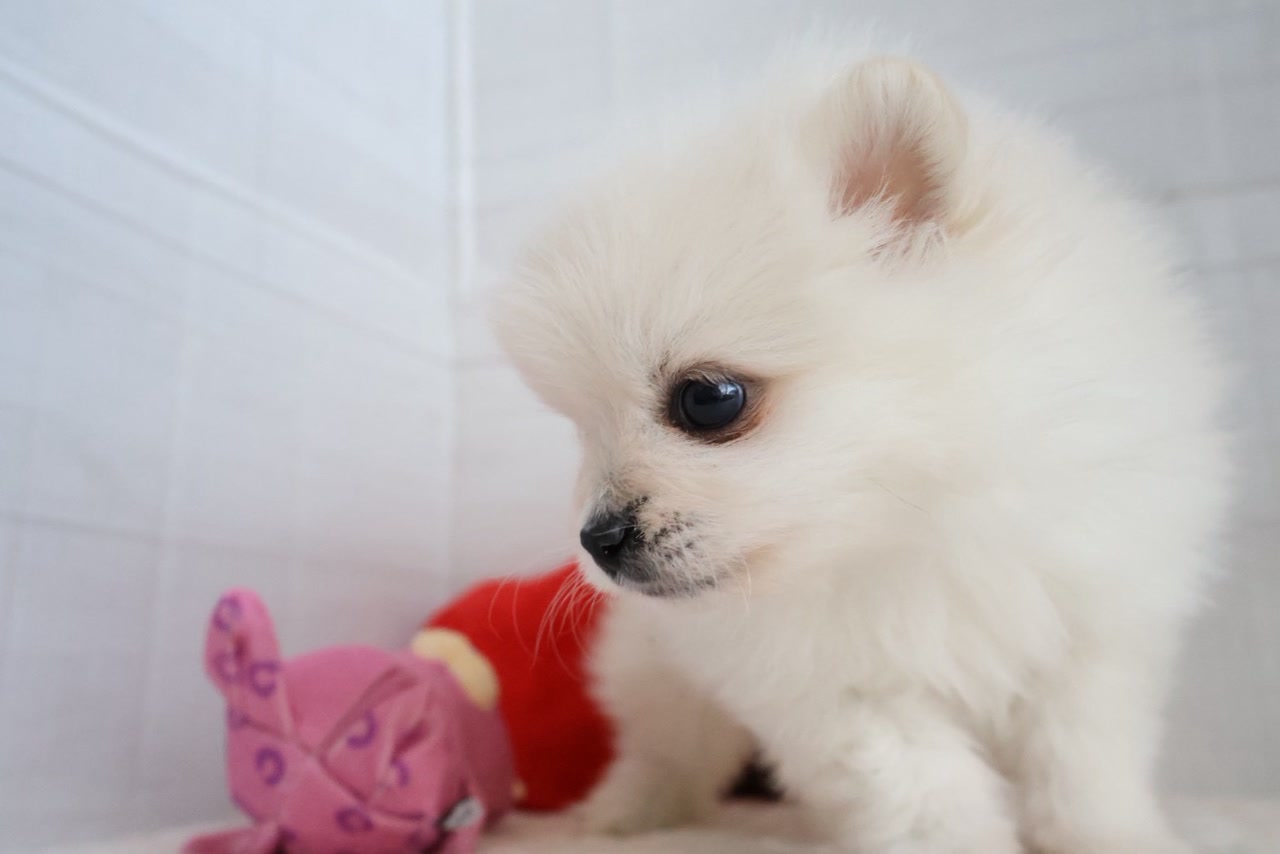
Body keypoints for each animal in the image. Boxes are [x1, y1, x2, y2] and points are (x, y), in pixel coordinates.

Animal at [492, 51, 1230, 853]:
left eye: (709, 399)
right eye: (580, 427)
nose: (598, 539)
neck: (916, 525)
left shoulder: (1088, 639)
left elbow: (1080, 769)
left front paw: (1117, 834)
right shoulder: (844, 691)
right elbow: (932, 800)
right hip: (654, 664)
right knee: (668, 745)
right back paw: (627, 812)